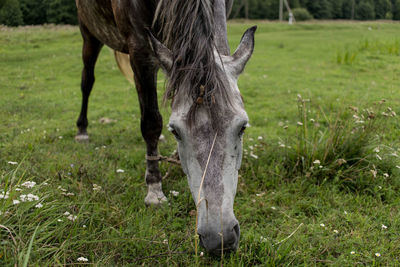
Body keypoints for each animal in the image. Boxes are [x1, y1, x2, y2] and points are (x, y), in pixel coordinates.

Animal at [75, 0, 256, 255]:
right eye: (175, 131)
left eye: (242, 127)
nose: (219, 238)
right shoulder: (139, 47)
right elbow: (151, 121)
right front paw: (154, 190)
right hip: (89, 34)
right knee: (87, 80)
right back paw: (82, 130)